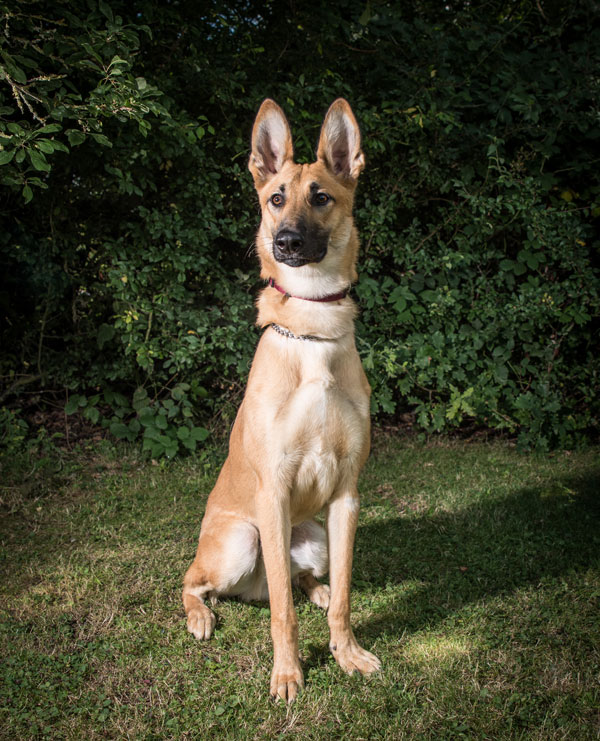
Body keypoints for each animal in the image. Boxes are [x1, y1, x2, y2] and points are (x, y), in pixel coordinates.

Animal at [182, 97, 380, 700]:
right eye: (275, 198)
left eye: (321, 197)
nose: (286, 242)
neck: (312, 328)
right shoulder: (271, 493)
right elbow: (282, 615)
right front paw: (289, 672)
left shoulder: (347, 497)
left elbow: (344, 597)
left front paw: (346, 652)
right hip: (241, 539)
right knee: (198, 582)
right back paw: (201, 615)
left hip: (312, 535)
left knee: (295, 581)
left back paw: (313, 589)